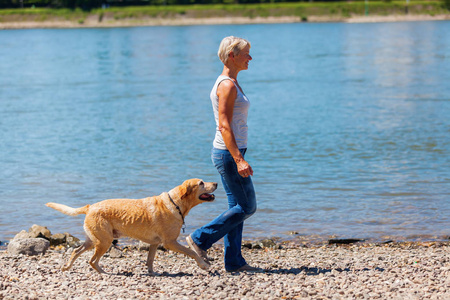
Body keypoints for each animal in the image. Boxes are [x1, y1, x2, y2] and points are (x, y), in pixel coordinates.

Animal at [44, 178, 217, 274]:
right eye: (201, 183)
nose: (216, 182)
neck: (176, 203)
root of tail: (89, 207)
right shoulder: (170, 242)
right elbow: (192, 252)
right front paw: (203, 265)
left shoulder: (154, 243)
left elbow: (150, 260)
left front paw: (152, 273)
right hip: (104, 241)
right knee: (92, 261)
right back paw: (104, 272)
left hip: (93, 240)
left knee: (76, 251)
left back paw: (67, 267)